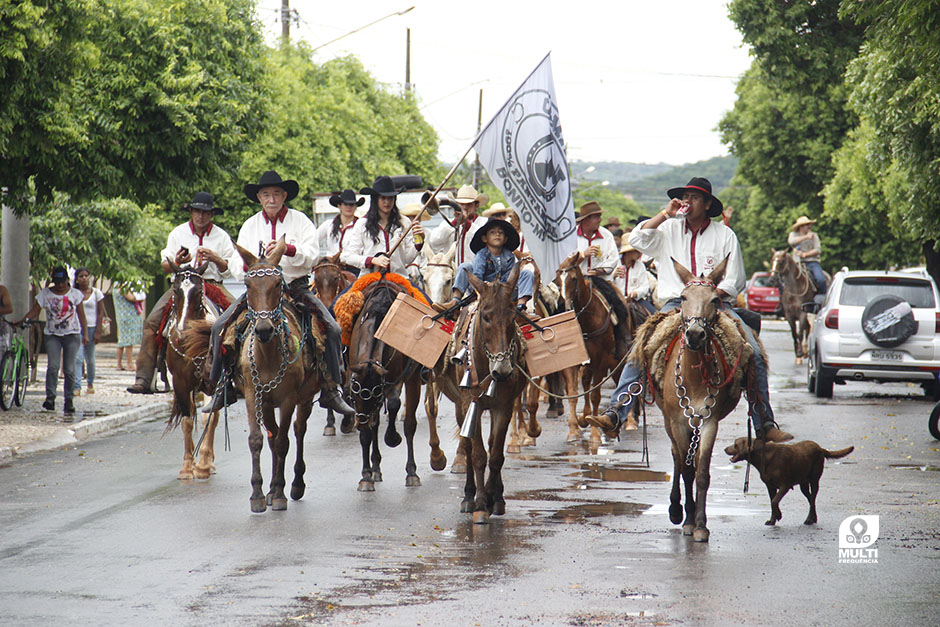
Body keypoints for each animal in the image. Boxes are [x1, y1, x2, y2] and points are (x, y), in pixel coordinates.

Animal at [163, 260, 220, 480]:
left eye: (198, 292)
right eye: (175, 290)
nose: (182, 333)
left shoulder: (211, 382)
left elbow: (208, 417)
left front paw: (203, 464)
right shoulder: (179, 382)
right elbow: (187, 421)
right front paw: (188, 467)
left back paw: (209, 462)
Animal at [346, 278, 446, 490]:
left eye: (372, 394)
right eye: (354, 395)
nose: (360, 422)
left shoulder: (408, 379)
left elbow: (404, 418)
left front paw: (409, 468)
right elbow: (371, 429)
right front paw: (366, 474)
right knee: (375, 424)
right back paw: (375, 468)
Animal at [636, 258, 752, 544]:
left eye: (714, 299)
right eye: (683, 297)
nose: (696, 334)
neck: (694, 377)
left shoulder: (709, 422)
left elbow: (701, 472)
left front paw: (701, 523)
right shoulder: (678, 421)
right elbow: (686, 470)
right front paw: (687, 519)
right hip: (669, 420)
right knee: (678, 458)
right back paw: (676, 509)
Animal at [724, 440, 856, 528]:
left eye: (735, 444)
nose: (725, 449)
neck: (763, 457)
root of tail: (820, 448)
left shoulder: (785, 486)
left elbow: (774, 501)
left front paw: (778, 516)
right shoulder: (770, 486)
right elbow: (772, 501)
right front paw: (773, 519)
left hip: (814, 480)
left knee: (813, 498)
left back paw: (809, 519)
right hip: (803, 484)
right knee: (811, 500)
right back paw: (813, 518)